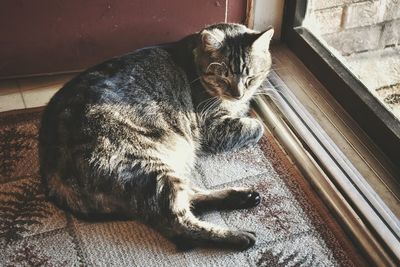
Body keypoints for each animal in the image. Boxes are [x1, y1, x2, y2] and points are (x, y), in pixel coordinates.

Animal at [39, 23, 274, 251]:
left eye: (251, 77)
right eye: (222, 77)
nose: (238, 94)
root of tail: (51, 173)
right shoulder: (213, 126)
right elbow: (257, 126)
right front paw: (251, 117)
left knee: (189, 196)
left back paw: (242, 197)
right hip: (149, 168)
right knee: (179, 225)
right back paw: (238, 236)